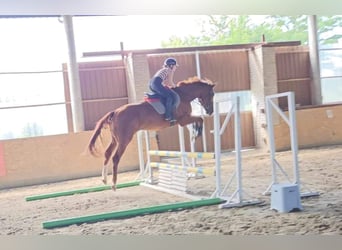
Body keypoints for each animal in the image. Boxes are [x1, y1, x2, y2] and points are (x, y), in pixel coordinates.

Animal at [88, 76, 216, 189]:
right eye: (212, 94)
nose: (210, 111)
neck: (184, 95)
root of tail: (115, 112)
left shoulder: (184, 120)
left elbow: (199, 119)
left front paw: (196, 133)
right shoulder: (183, 120)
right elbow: (200, 119)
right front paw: (197, 134)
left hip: (115, 139)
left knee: (107, 154)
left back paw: (104, 179)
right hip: (124, 140)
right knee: (115, 158)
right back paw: (114, 184)